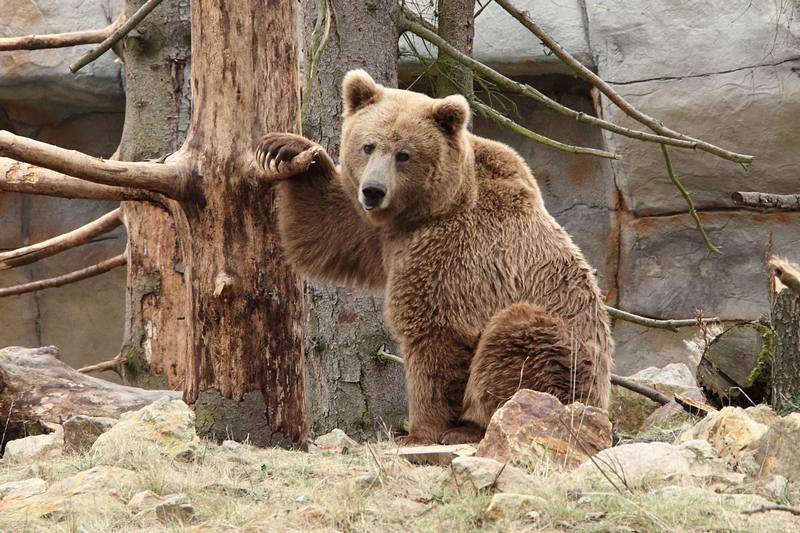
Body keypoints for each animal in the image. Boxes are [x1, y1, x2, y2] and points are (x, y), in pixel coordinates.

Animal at [256, 70, 612, 444]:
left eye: (404, 154)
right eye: (368, 146)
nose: (373, 190)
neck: (429, 208)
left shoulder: (454, 252)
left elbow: (435, 334)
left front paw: (419, 432)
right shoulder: (385, 234)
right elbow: (332, 223)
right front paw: (287, 150)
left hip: (569, 355)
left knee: (518, 341)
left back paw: (473, 426)